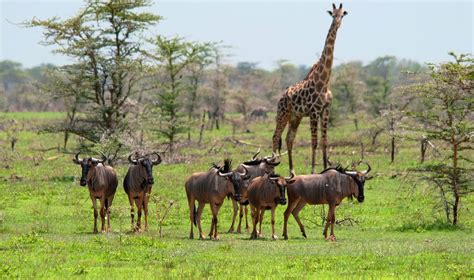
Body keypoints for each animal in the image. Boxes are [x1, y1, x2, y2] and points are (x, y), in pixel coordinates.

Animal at [272, 3, 346, 174]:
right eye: (332, 15)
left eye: (342, 15)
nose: (337, 24)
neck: (324, 82)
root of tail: (281, 97)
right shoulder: (314, 111)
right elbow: (314, 142)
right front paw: (313, 171)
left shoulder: (325, 110)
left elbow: (325, 141)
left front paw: (326, 169)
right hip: (283, 113)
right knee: (276, 136)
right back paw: (272, 168)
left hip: (295, 116)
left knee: (289, 138)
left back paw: (292, 171)